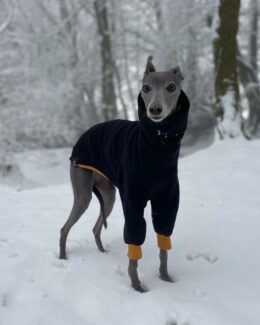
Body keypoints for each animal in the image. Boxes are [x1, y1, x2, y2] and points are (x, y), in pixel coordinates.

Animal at [59, 55, 190, 292]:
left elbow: (164, 245)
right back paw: (63, 258)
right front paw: (137, 287)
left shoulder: (166, 201)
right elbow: (134, 242)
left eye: (171, 87)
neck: (158, 147)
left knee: (96, 228)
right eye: (145, 88)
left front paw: (166, 279)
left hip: (109, 195)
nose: (155, 110)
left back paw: (102, 252)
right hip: (84, 192)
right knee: (64, 228)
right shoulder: (132, 200)